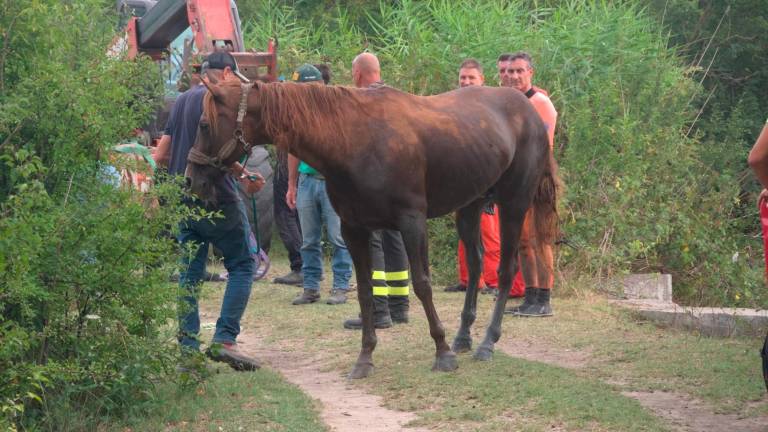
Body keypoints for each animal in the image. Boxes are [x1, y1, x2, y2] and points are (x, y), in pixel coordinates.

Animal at [186, 81, 560, 378]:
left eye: (204, 124)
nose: (192, 179)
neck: (353, 139)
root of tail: (527, 108)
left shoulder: (411, 222)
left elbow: (421, 284)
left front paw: (441, 353)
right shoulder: (354, 229)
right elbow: (366, 291)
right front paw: (365, 358)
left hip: (514, 204)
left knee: (506, 269)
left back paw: (486, 343)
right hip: (470, 206)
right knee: (478, 264)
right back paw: (463, 338)